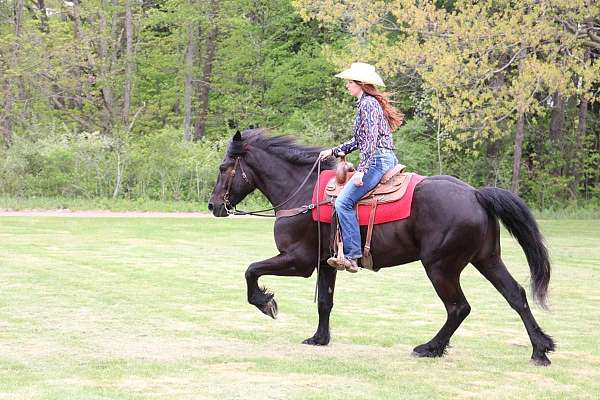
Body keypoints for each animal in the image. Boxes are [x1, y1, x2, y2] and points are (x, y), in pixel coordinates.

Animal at [209, 129, 556, 366]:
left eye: (225, 167)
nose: (213, 206)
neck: (302, 192)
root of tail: (475, 194)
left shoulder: (298, 260)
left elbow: (251, 270)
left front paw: (265, 302)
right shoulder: (325, 263)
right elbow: (325, 303)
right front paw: (320, 339)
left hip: (441, 267)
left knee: (459, 308)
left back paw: (430, 348)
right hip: (486, 259)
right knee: (516, 295)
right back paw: (540, 348)